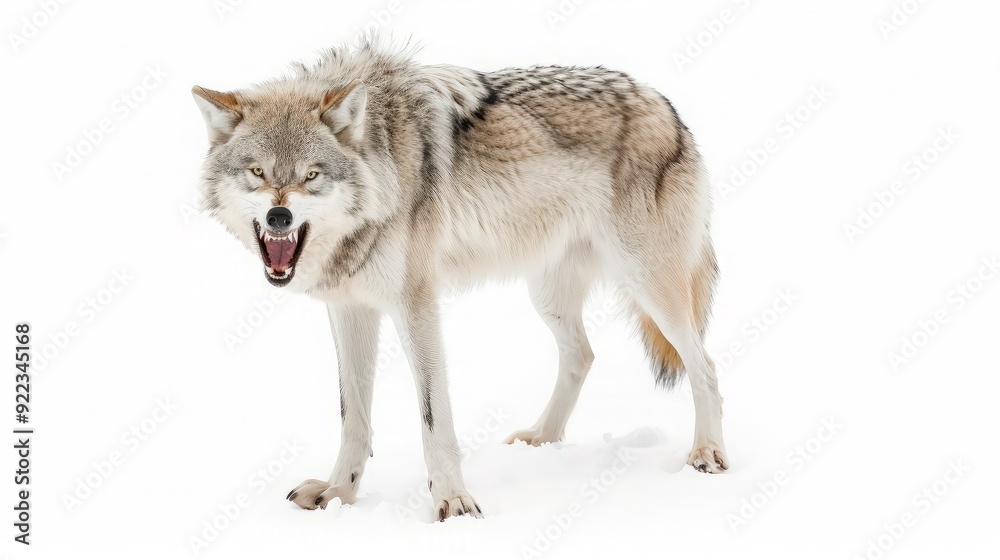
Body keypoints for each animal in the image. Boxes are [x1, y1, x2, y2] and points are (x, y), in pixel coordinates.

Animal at [192, 36, 727, 521]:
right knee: (583, 355)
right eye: (257, 173)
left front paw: (453, 502)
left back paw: (706, 453)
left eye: (312, 175)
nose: (279, 216)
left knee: (704, 364)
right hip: (547, 297)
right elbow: (353, 417)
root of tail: (663, 103)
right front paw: (338, 494)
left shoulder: (417, 306)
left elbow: (434, 418)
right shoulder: (350, 310)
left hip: (649, 284)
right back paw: (542, 438)